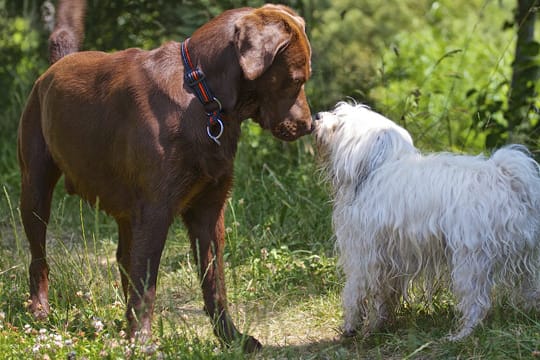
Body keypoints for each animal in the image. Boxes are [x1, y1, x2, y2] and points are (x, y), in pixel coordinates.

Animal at [17, 3, 312, 352]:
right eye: (296, 80)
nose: (309, 125)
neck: (202, 96)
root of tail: (56, 66)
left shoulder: (209, 211)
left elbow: (215, 283)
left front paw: (232, 337)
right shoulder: (156, 210)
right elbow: (147, 283)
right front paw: (141, 342)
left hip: (126, 211)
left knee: (124, 258)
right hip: (35, 186)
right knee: (39, 257)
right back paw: (40, 310)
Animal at [312, 102, 540, 340]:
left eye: (339, 123)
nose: (316, 116)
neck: (377, 167)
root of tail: (507, 178)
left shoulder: (363, 255)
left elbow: (355, 291)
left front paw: (351, 326)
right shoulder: (389, 260)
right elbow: (382, 296)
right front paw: (377, 324)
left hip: (471, 260)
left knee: (477, 302)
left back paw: (461, 334)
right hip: (523, 257)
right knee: (530, 289)